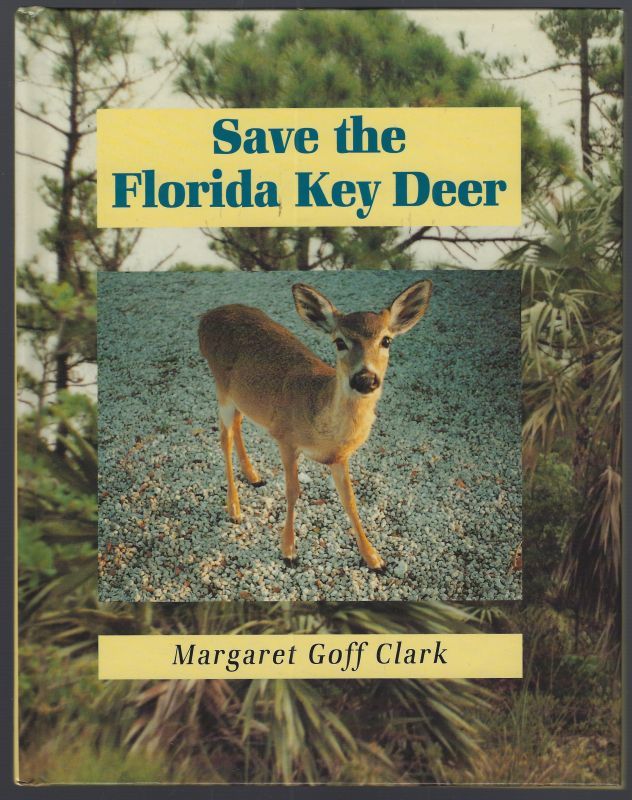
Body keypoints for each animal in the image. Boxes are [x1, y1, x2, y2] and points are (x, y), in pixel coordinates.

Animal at [198, 279, 432, 571]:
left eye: (386, 340)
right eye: (339, 341)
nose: (365, 378)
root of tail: (207, 317)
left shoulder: (340, 457)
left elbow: (350, 500)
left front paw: (373, 557)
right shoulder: (285, 437)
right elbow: (292, 491)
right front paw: (288, 551)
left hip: (241, 397)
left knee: (238, 426)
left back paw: (254, 476)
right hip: (221, 388)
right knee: (224, 438)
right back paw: (235, 510)